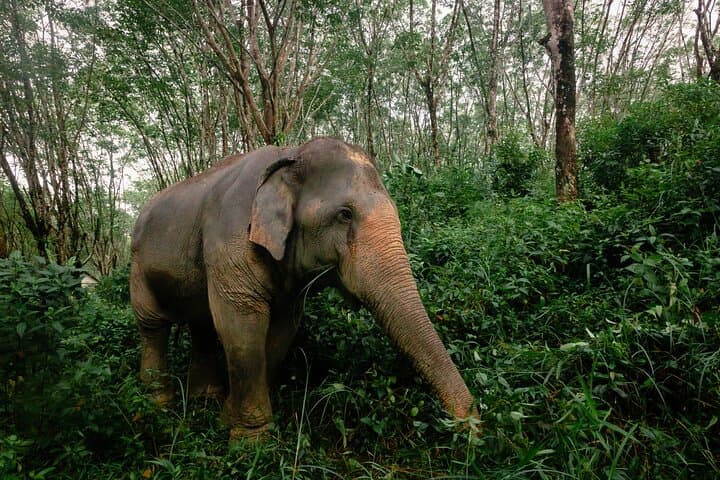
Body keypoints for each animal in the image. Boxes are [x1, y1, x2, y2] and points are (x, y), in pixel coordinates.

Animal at [130, 137, 477, 440]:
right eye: (345, 214)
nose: (471, 426)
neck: (290, 154)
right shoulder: (229, 242)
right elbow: (241, 325)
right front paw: (249, 442)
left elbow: (282, 328)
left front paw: (227, 418)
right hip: (138, 265)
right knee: (153, 325)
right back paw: (156, 405)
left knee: (200, 324)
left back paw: (204, 400)